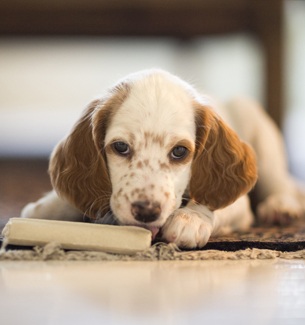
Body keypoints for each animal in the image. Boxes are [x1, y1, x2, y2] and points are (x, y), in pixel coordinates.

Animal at [21, 67, 304, 246]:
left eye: (179, 151)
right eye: (120, 147)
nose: (146, 212)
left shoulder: (239, 205)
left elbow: (212, 202)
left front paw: (190, 219)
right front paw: (46, 207)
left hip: (260, 135)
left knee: (279, 182)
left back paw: (281, 207)